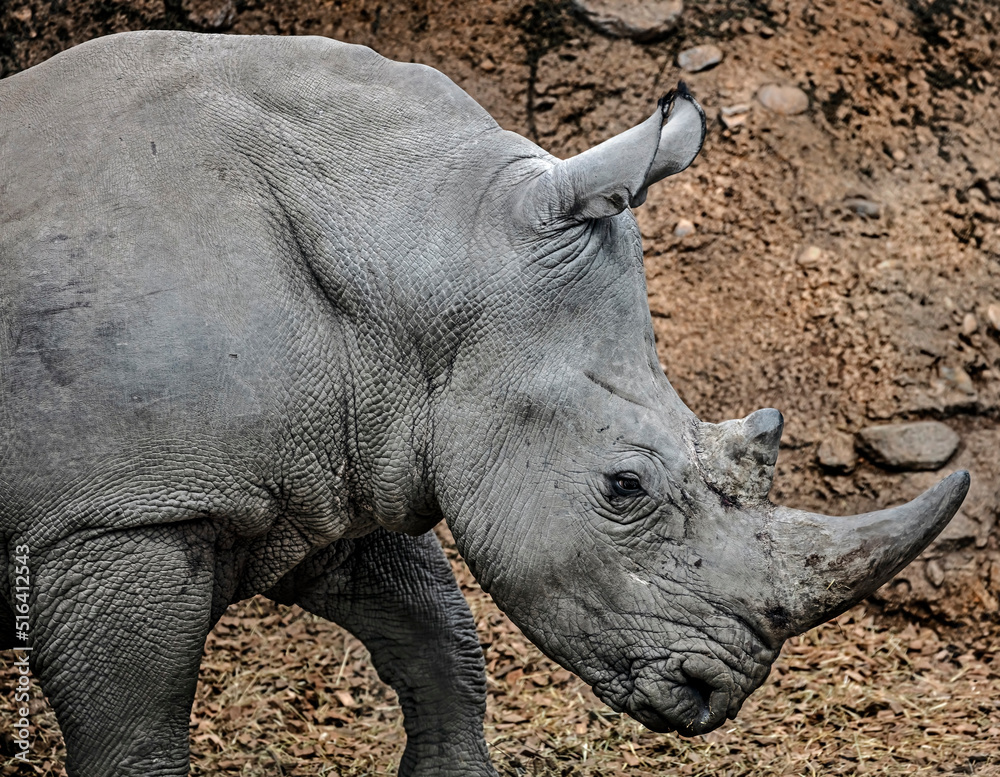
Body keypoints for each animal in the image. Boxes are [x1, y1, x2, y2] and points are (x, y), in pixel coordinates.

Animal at [0, 31, 968, 777]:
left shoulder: (347, 451)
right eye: (624, 488)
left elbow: (438, 633)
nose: (713, 693)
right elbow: (138, 738)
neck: (420, 243)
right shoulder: (115, 513)